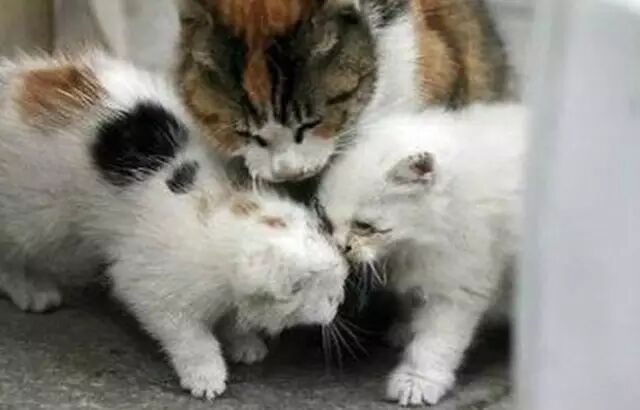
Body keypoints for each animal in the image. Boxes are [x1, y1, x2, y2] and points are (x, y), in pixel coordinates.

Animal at [0, 51, 348, 400]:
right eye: (306, 288)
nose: (338, 304)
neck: (217, 209)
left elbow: (231, 321)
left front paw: (243, 342)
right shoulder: (151, 287)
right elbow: (190, 336)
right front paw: (206, 375)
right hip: (35, 213)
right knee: (11, 250)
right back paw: (31, 289)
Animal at [318, 103, 526, 406]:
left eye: (364, 226)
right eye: (327, 221)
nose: (339, 246)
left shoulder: (457, 285)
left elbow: (433, 342)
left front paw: (417, 380)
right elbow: (412, 303)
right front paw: (405, 328)